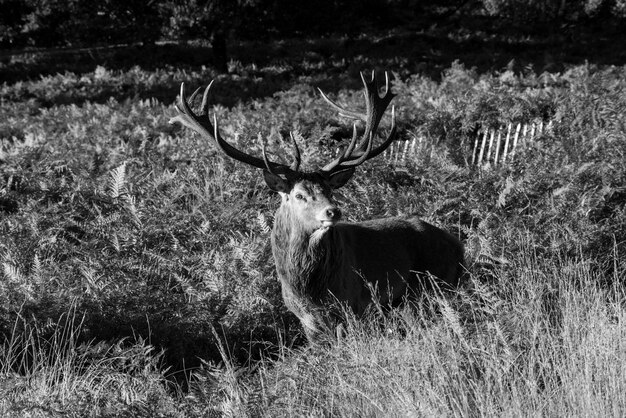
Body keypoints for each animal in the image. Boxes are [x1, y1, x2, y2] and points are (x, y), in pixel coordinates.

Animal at [169, 71, 464, 340]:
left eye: (329, 190)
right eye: (299, 195)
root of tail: (459, 246)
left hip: (437, 286)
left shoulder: (355, 304)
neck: (308, 291)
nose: (333, 211)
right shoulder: (304, 320)